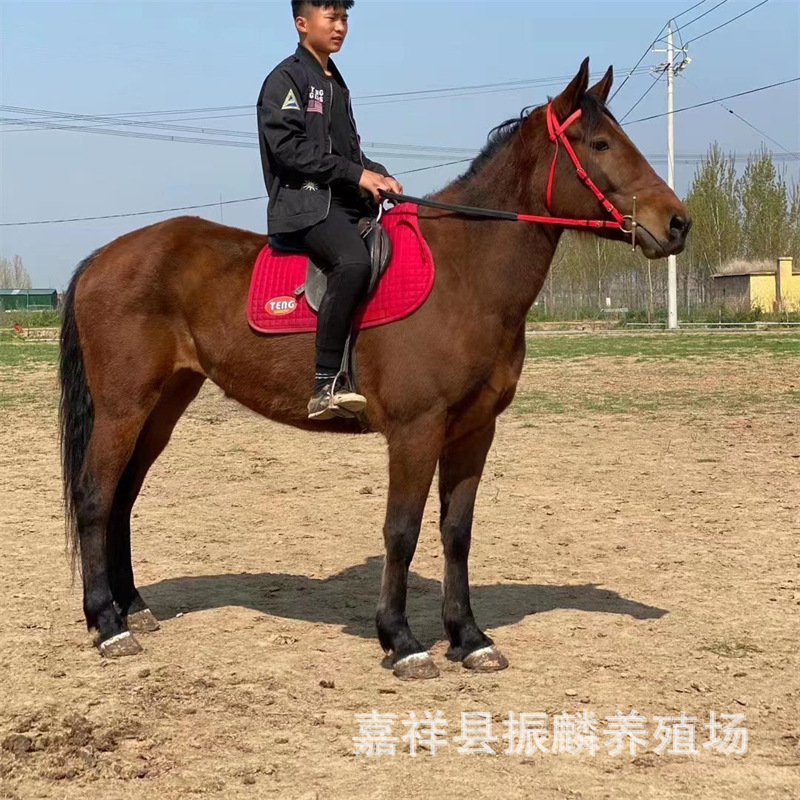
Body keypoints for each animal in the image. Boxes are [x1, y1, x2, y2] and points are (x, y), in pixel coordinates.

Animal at [59, 59, 690, 680]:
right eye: (601, 143)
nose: (678, 223)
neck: (464, 273)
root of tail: (102, 258)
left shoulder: (474, 431)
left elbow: (456, 532)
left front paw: (469, 638)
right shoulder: (416, 430)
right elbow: (402, 530)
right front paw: (402, 640)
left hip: (163, 404)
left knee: (123, 497)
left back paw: (133, 608)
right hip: (123, 407)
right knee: (95, 497)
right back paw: (108, 625)